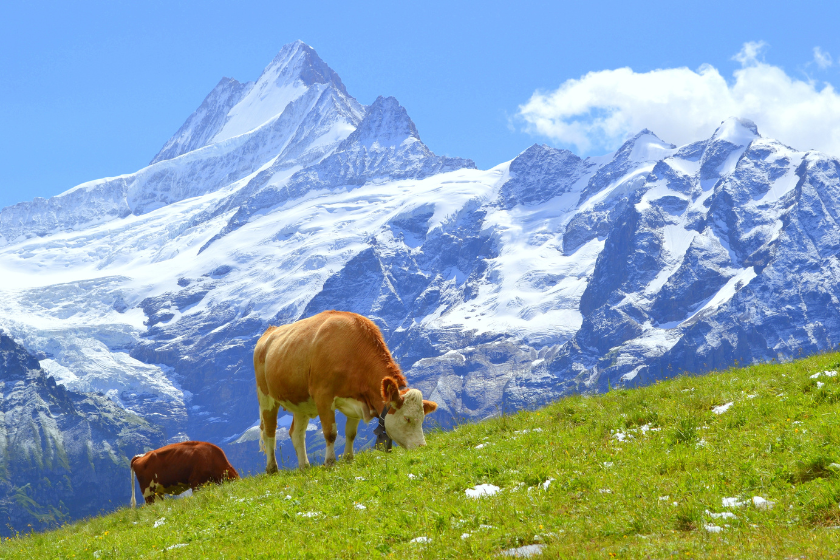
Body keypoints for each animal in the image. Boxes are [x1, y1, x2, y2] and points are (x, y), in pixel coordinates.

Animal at [254, 310, 440, 472]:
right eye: (407, 418)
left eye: (423, 418)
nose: (421, 447)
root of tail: (270, 331)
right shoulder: (323, 396)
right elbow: (330, 433)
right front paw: (330, 462)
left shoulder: (357, 400)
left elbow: (351, 433)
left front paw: (349, 458)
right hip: (266, 397)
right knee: (269, 431)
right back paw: (272, 468)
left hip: (300, 403)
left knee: (296, 433)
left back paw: (304, 467)